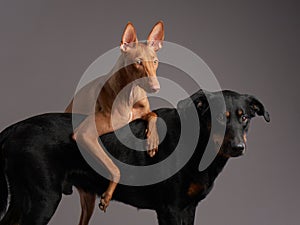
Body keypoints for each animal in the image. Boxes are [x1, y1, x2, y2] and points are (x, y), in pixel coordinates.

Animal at [0, 89, 270, 225]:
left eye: (244, 117)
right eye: (220, 117)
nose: (237, 147)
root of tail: (14, 128)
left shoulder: (188, 208)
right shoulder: (171, 209)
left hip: (22, 198)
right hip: (43, 199)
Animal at [64, 21, 165, 225]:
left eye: (155, 61)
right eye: (138, 62)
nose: (155, 88)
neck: (130, 92)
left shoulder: (142, 111)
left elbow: (153, 115)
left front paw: (152, 142)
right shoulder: (85, 134)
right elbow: (116, 169)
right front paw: (107, 196)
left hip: (87, 200)